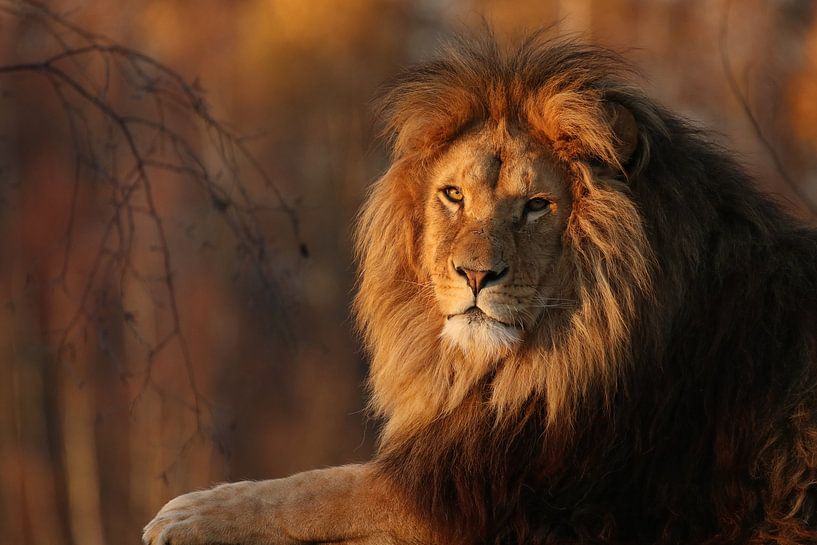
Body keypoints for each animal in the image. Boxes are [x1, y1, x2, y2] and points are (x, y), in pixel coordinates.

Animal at [143, 36, 817, 545]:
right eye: (453, 195)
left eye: (537, 205)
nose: (474, 275)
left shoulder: (494, 492)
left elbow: (325, 487)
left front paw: (187, 515)